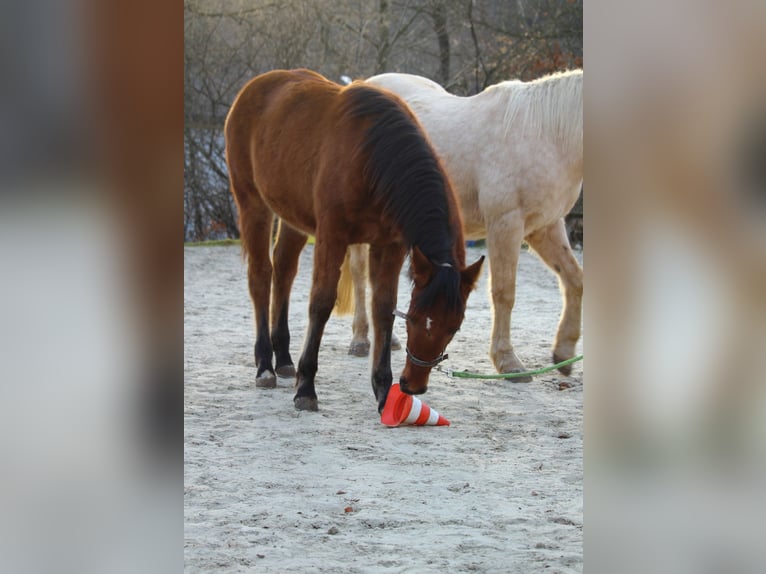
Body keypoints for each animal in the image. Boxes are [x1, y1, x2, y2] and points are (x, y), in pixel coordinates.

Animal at [225, 69, 484, 412]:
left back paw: (283, 359)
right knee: (260, 276)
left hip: (293, 216)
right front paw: (306, 387)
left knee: (283, 271)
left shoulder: (390, 246)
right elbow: (321, 302)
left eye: (453, 326)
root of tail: (255, 86)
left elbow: (383, 308)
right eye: (415, 319)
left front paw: (384, 389)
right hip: (252, 203)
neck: (373, 158)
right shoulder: (331, 237)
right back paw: (265, 365)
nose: (414, 384)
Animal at [344, 70, 583, 379]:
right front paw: (508, 361)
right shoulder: (505, 225)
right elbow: (504, 292)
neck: (548, 136)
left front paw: (563, 353)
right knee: (360, 274)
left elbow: (574, 279)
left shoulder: (545, 227)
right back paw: (360, 339)